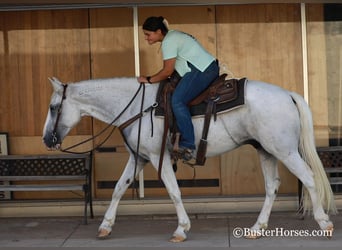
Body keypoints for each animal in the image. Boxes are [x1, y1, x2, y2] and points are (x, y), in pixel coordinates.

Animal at [42, 76, 336, 242]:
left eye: (54, 107)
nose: (46, 139)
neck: (139, 107)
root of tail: (288, 94)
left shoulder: (156, 157)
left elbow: (174, 192)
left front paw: (181, 229)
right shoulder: (138, 158)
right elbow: (118, 189)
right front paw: (105, 226)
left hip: (285, 151)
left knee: (309, 178)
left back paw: (324, 223)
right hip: (266, 150)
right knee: (272, 187)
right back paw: (257, 227)